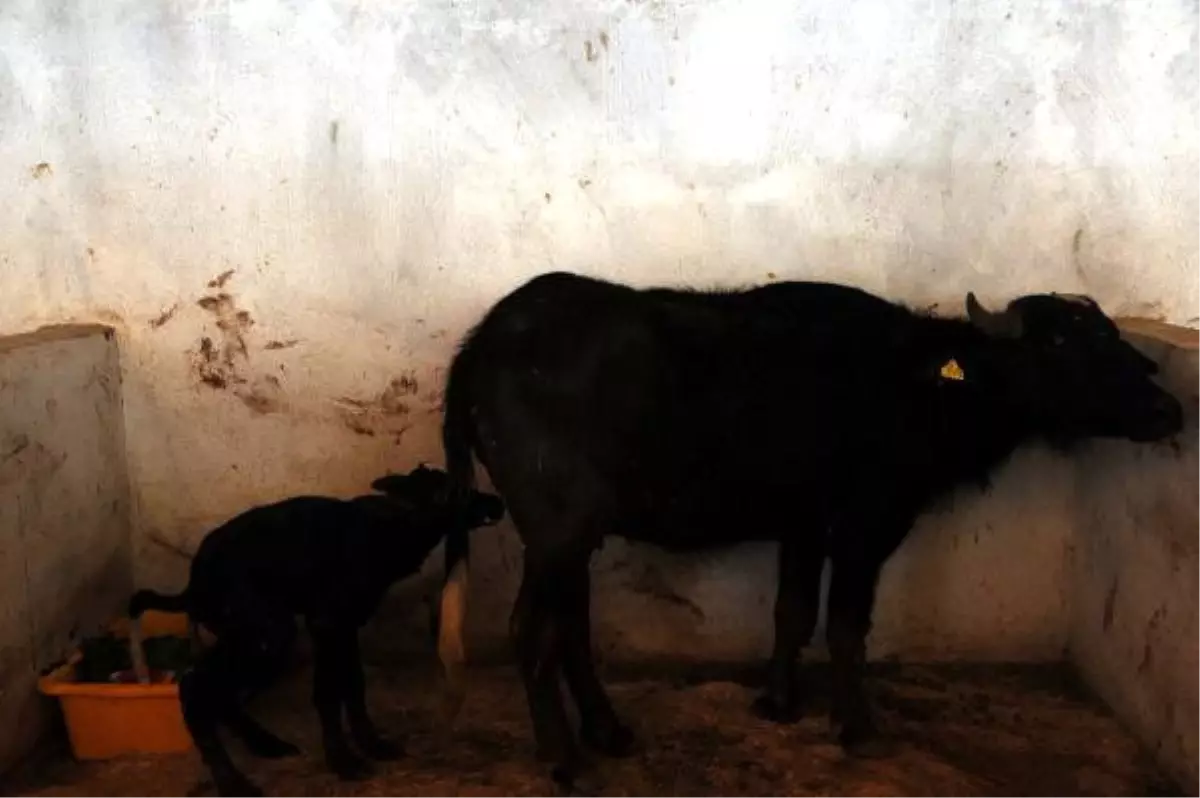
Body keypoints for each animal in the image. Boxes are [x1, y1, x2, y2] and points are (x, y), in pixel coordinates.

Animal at [129, 463, 504, 796]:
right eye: (453, 492)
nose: (496, 503)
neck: (389, 530)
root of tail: (193, 585)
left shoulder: (348, 625)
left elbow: (354, 686)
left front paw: (373, 744)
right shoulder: (326, 623)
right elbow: (327, 693)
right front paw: (343, 761)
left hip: (245, 633)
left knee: (217, 691)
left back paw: (266, 744)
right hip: (267, 634)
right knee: (196, 688)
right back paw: (234, 784)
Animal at [432, 271, 1180, 782]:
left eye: (1113, 337)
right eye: (1063, 344)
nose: (1170, 408)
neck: (919, 388)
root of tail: (486, 342)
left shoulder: (803, 528)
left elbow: (791, 611)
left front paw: (778, 701)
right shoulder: (865, 529)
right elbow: (846, 627)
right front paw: (857, 726)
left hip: (570, 538)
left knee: (572, 629)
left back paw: (607, 729)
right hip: (555, 529)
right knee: (532, 630)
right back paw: (561, 755)